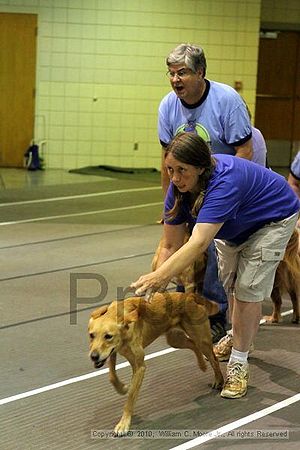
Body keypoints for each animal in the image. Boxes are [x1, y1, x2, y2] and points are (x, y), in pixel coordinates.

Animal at [88, 292, 224, 436]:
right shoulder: (112, 352)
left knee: (213, 359)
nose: (93, 356)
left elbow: (130, 398)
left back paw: (218, 380)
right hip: (175, 340)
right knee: (193, 345)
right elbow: (112, 376)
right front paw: (122, 388)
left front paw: (123, 424)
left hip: (201, 340)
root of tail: (190, 295)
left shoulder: (139, 367)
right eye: (91, 335)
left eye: (108, 336)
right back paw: (202, 365)